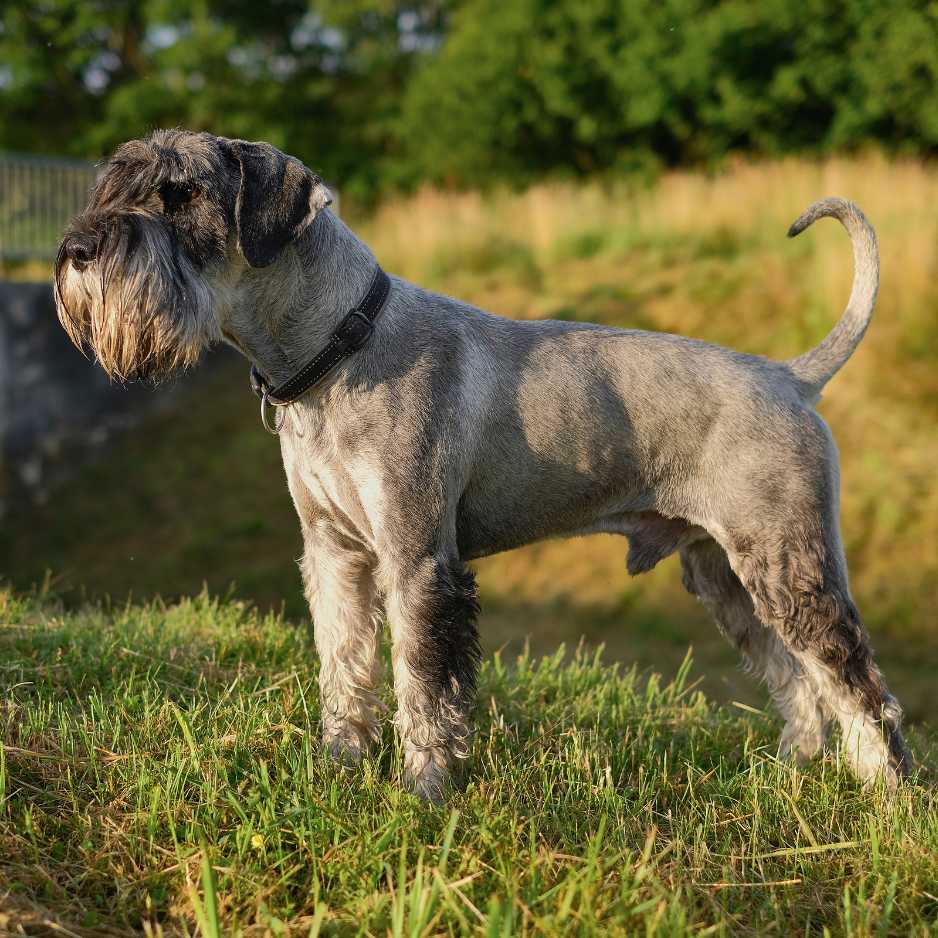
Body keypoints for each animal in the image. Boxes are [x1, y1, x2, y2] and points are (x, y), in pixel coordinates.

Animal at [54, 130, 912, 796]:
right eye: (113, 184)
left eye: (179, 194)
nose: (76, 251)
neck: (341, 344)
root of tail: (790, 376)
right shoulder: (334, 555)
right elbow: (344, 664)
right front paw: (340, 768)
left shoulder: (418, 560)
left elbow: (424, 683)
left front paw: (425, 792)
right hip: (725, 575)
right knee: (798, 678)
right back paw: (791, 775)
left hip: (787, 564)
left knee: (857, 682)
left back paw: (886, 797)